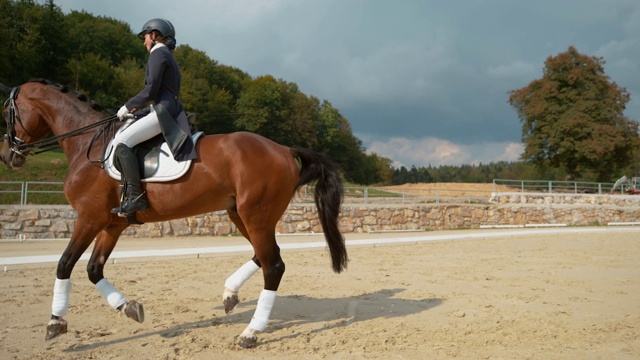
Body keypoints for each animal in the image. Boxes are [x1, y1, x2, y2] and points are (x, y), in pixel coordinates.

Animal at [1, 79, 350, 348]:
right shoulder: (111, 225)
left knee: (274, 265)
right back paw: (230, 295)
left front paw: (55, 323)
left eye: (7, 113)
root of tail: (284, 149)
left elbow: (64, 264)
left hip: (256, 215)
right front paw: (130, 308)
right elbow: (93, 269)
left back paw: (250, 332)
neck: (88, 143)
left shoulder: (89, 218)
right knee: (264, 255)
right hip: (242, 214)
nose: (7, 156)